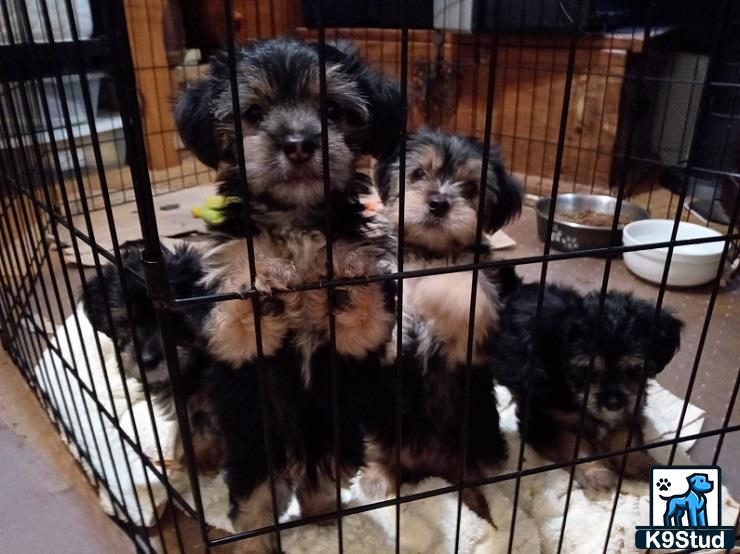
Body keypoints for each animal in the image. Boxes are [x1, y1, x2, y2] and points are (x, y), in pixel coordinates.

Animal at [175, 36, 398, 536]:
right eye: (253, 114)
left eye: (331, 110)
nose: (298, 144)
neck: (295, 221)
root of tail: (296, 456)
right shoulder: (222, 324)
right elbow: (234, 324)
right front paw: (261, 283)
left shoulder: (363, 339)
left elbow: (365, 321)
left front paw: (346, 278)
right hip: (254, 450)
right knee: (254, 504)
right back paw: (255, 537)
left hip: (333, 438)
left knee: (321, 484)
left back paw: (323, 522)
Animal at [360, 129, 528, 532]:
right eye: (418, 174)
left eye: (470, 187)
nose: (438, 203)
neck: (427, 253)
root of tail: (430, 466)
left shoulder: (475, 332)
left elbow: (463, 289)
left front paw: (433, 290)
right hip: (379, 425)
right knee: (382, 455)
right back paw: (378, 479)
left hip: (481, 437)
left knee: (475, 479)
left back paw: (484, 517)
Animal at [494, 282, 684, 490]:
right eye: (587, 370)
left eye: (635, 369)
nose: (614, 404)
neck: (569, 388)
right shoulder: (540, 418)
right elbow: (571, 444)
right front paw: (595, 472)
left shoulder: (630, 410)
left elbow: (625, 440)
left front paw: (642, 463)